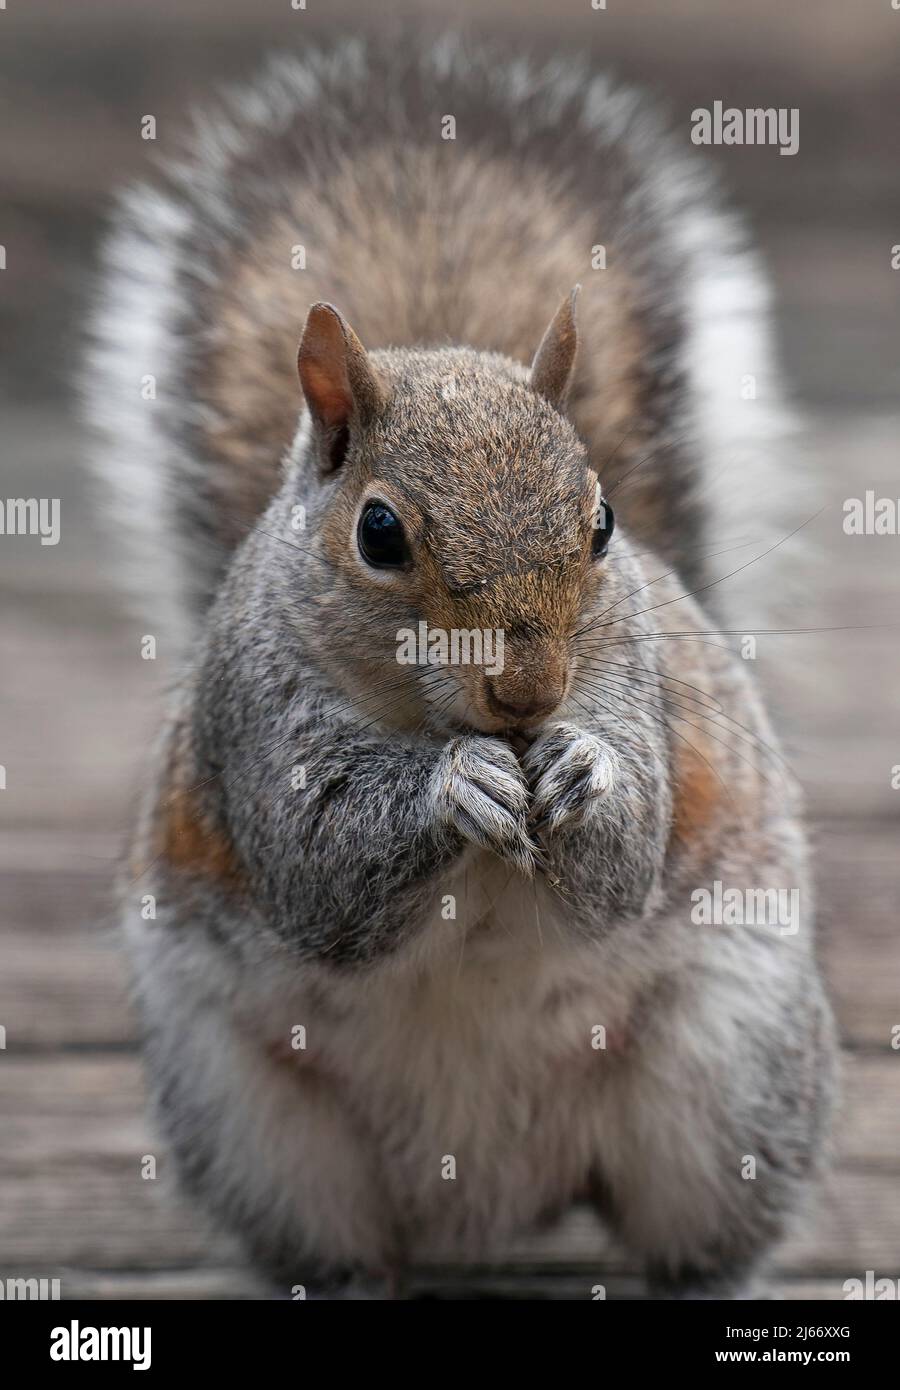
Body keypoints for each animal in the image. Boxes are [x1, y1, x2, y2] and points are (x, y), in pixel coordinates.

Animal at [86, 38, 840, 1295]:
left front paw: (582, 772)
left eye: (602, 521)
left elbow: (623, 859)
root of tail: (481, 1197)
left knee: (699, 1236)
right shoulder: (253, 719)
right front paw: (456, 788)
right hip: (256, 1124)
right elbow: (318, 872)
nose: (528, 696)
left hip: (726, 1074)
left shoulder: (641, 693)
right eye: (379, 532)